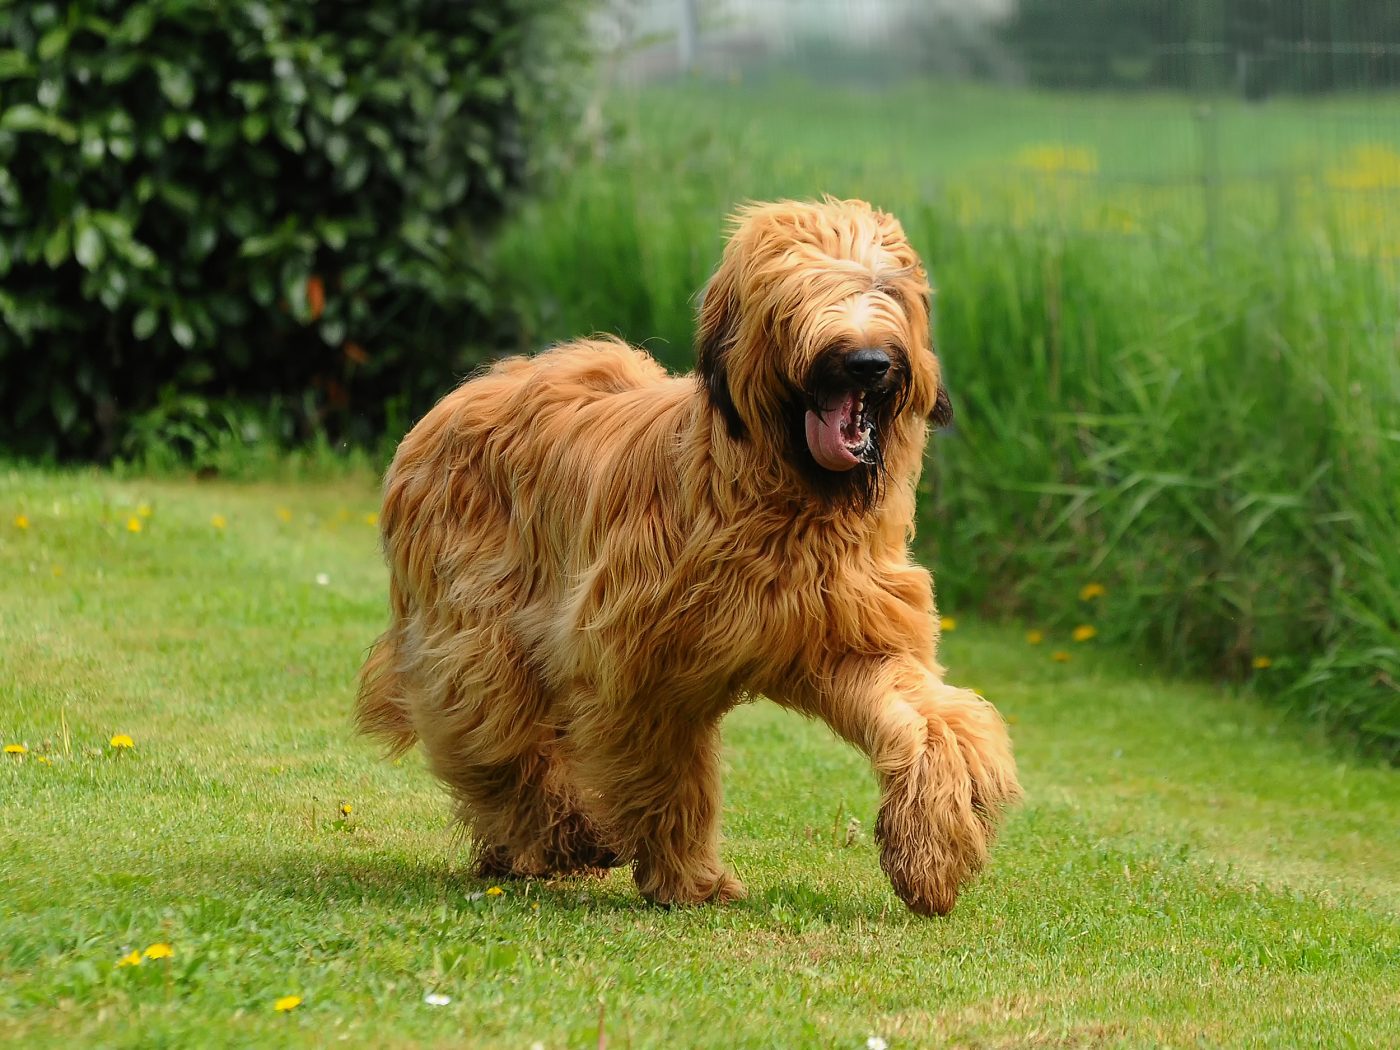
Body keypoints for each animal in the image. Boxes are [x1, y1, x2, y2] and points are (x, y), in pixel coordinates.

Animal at [358, 198, 1019, 918]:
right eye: (799, 291)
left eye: (884, 287)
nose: (868, 362)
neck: (789, 500)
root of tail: (462, 398)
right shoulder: (643, 668)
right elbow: (670, 775)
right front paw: (688, 881)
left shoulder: (849, 636)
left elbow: (933, 723)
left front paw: (931, 855)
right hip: (479, 627)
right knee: (497, 733)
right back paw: (560, 836)